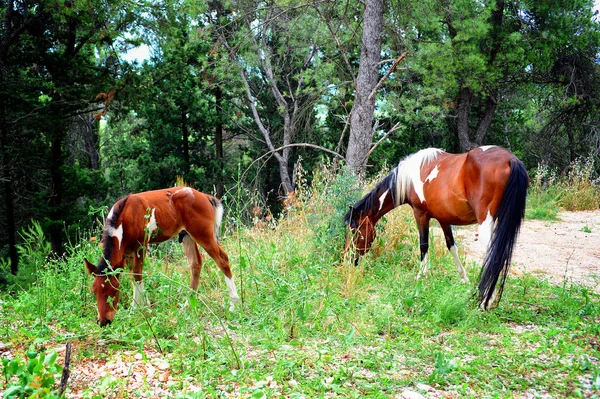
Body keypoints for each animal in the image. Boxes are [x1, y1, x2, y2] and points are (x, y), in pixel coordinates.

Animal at [84, 189, 239, 326]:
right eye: (94, 292)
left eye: (115, 290)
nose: (103, 322)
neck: (125, 216)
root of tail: (205, 196)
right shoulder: (126, 252)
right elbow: (134, 274)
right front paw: (144, 304)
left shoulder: (141, 245)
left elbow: (137, 274)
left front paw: (136, 309)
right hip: (186, 236)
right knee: (196, 264)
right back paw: (188, 303)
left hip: (203, 234)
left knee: (222, 259)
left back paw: (233, 305)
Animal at [344, 147, 528, 310]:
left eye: (354, 230)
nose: (349, 259)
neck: (411, 176)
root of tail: (511, 160)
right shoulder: (443, 219)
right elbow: (451, 246)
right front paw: (464, 278)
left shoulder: (420, 214)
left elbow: (423, 245)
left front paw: (421, 276)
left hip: (486, 222)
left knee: (493, 254)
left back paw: (485, 300)